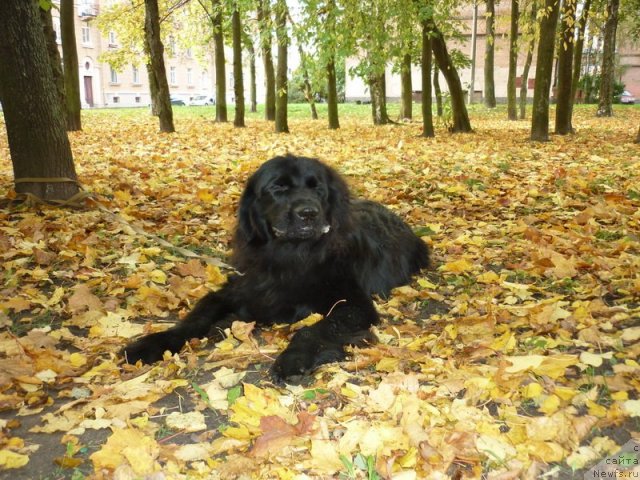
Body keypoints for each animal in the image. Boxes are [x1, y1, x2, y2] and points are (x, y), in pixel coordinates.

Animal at [122, 155, 428, 382]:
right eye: (278, 188)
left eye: (318, 188)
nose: (309, 213)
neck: (292, 256)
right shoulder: (237, 289)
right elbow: (196, 317)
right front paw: (152, 343)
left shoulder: (354, 305)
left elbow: (314, 328)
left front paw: (293, 359)